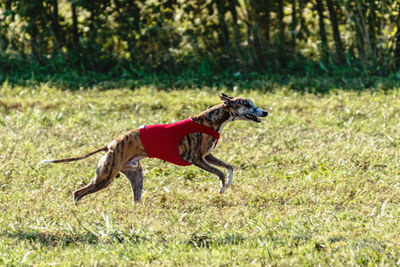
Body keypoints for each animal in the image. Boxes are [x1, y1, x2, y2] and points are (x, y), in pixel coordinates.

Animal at [39, 93, 268, 204]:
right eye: (247, 104)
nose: (265, 112)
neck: (212, 120)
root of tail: (110, 145)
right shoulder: (197, 158)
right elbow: (220, 172)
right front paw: (221, 188)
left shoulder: (207, 155)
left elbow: (229, 167)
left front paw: (228, 184)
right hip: (105, 177)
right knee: (78, 192)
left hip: (135, 174)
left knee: (136, 198)